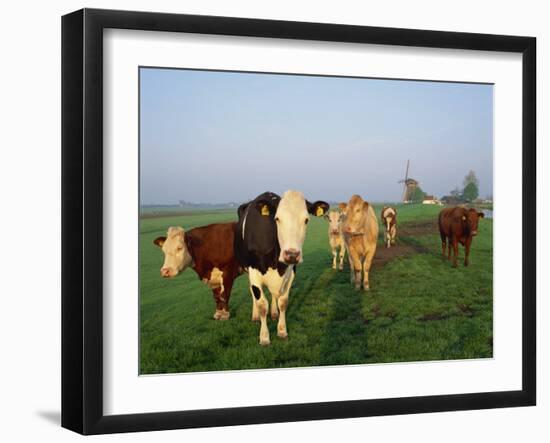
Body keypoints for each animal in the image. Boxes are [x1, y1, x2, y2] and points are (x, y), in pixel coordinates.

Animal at [235, 191, 330, 346]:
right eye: (277, 219)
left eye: (306, 220)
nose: (292, 254)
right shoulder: (254, 272)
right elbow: (262, 304)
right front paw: (264, 337)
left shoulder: (290, 272)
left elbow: (283, 302)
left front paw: (282, 330)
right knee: (252, 292)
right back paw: (255, 316)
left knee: (274, 295)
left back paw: (274, 313)